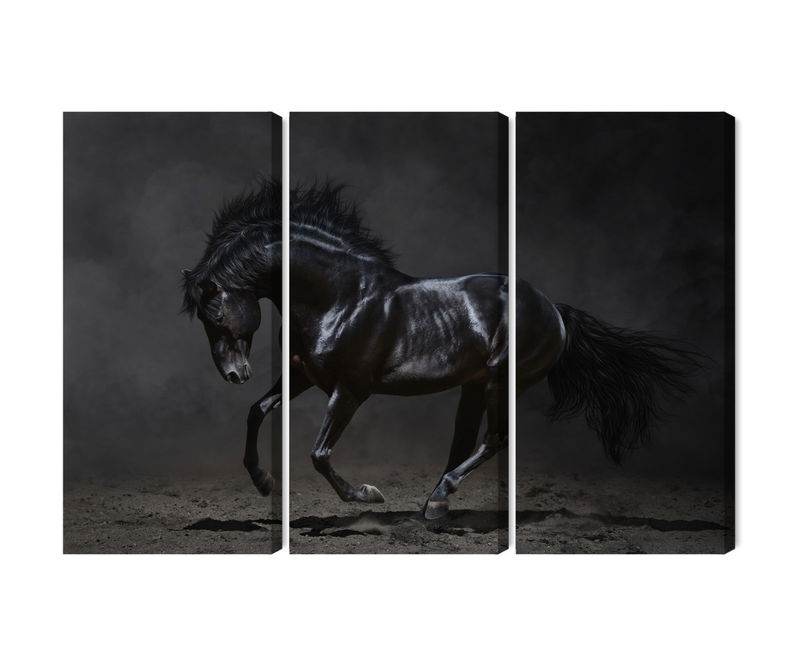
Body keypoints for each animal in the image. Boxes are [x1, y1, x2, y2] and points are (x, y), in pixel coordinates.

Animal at [182, 179, 700, 519]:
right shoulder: (303, 376)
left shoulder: (349, 390)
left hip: (503, 382)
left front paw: (368, 495)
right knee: (465, 443)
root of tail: (553, 309)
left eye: (215, 314)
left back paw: (436, 501)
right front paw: (262, 480)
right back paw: (432, 506)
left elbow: (319, 454)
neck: (340, 297)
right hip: (475, 386)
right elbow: (257, 411)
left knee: (495, 440)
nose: (234, 374)